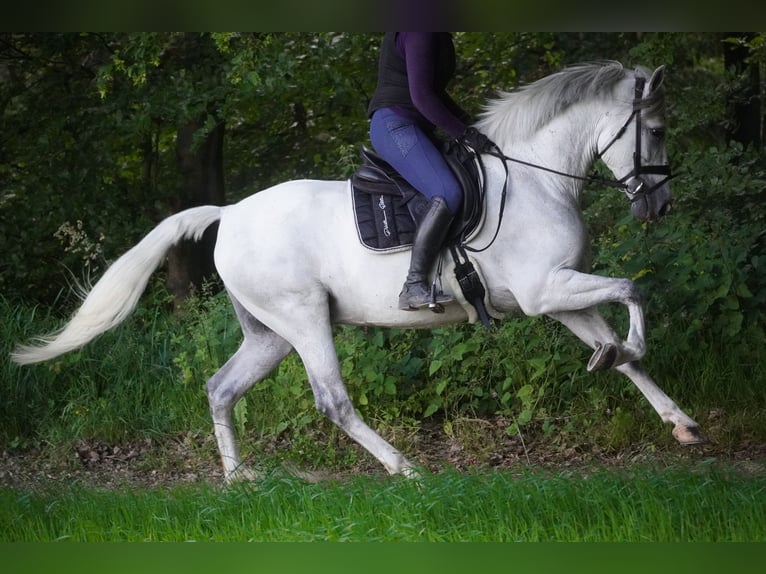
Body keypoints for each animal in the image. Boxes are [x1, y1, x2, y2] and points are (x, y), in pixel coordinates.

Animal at [12, 61, 706, 482]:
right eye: (656, 129)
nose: (660, 206)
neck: (538, 178)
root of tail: (230, 213)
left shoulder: (558, 295)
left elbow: (620, 344)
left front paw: (679, 421)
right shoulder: (546, 291)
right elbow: (636, 289)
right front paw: (627, 353)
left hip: (268, 334)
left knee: (220, 388)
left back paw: (240, 480)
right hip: (303, 318)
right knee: (333, 401)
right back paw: (407, 470)